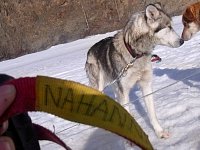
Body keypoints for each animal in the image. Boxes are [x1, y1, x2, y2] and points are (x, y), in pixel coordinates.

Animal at [85, 3, 184, 138]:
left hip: (116, 86)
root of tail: (89, 50)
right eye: (168, 27)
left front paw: (159, 132)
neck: (135, 53)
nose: (182, 41)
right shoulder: (124, 90)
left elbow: (152, 113)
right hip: (100, 86)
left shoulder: (146, 85)